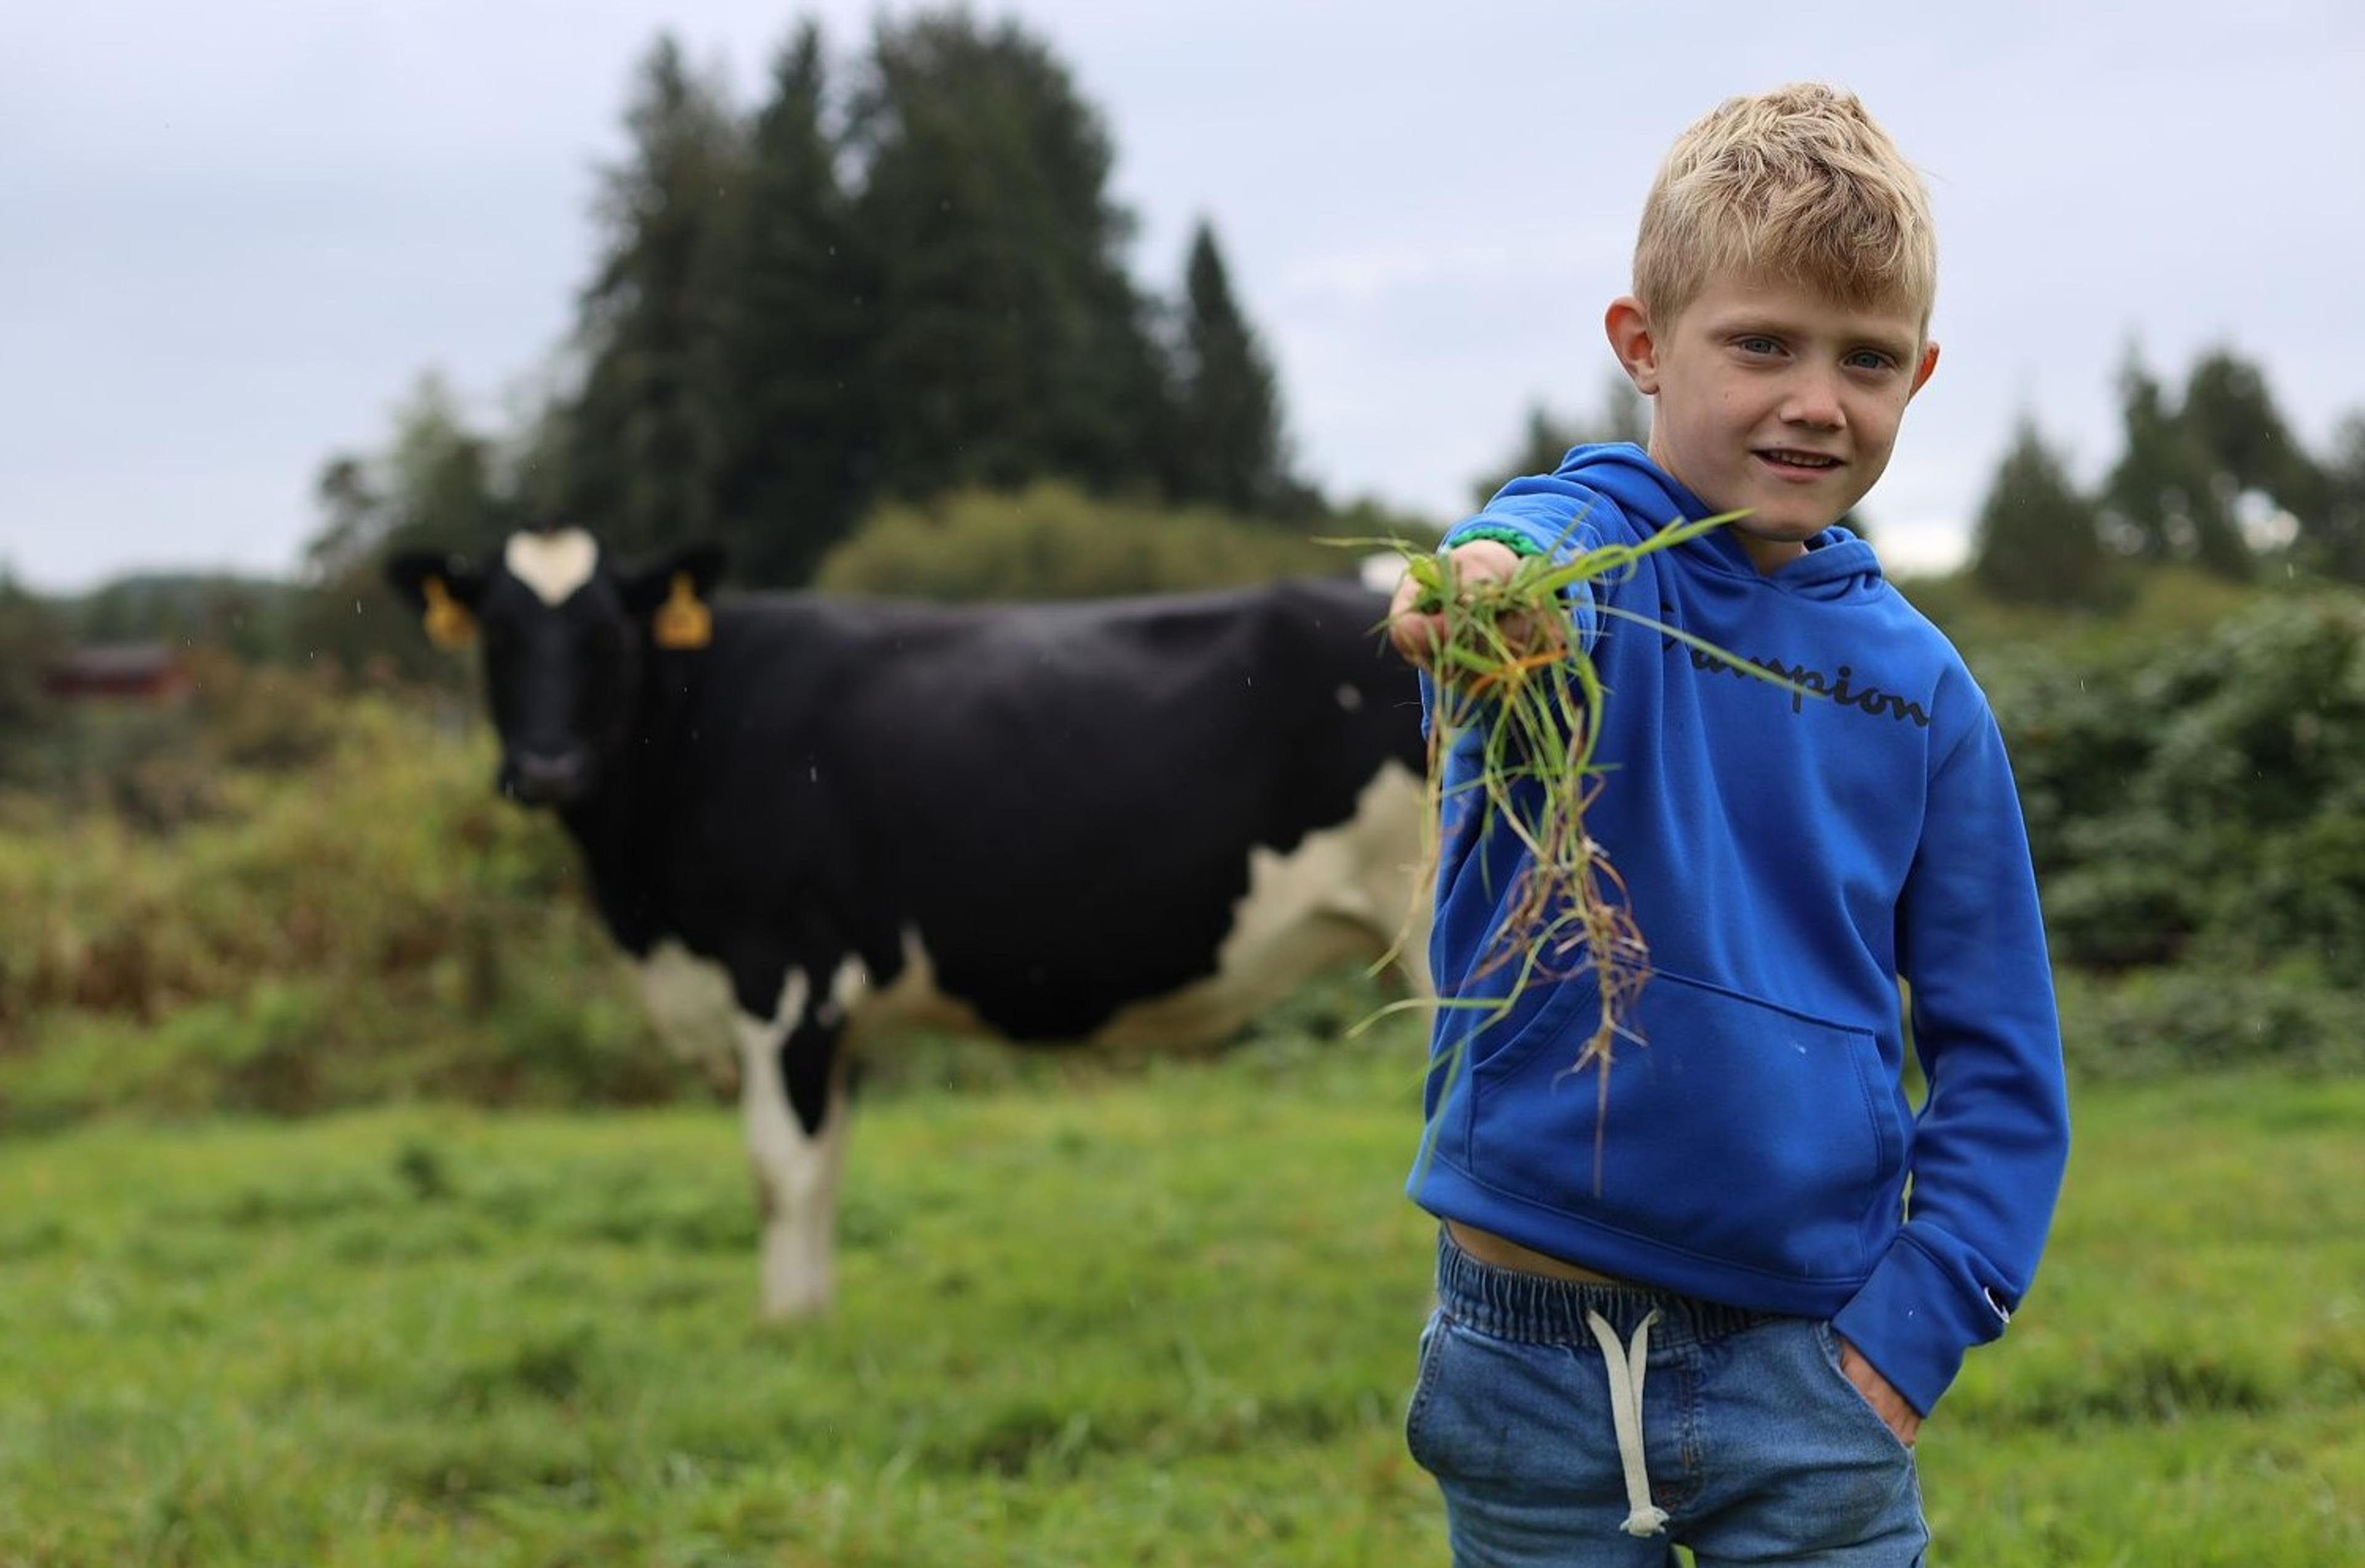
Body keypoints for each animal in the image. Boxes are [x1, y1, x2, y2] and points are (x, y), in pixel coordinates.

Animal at [387, 529, 1432, 1318]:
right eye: (496, 636)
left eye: (607, 633)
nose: (548, 766)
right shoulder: (833, 1015)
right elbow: (826, 1164)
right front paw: (814, 1317)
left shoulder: (787, 974)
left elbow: (780, 1168)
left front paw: (784, 1331)